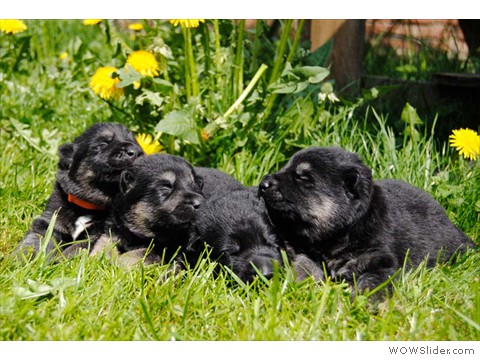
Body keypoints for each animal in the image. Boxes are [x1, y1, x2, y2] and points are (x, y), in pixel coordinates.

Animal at [14, 123, 142, 258]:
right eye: (103, 144)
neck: (87, 206)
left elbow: (73, 249)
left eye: (135, 143)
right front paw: (19, 259)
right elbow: (33, 241)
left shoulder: (95, 235)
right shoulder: (51, 220)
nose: (136, 151)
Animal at [258, 146, 476, 292]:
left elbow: (372, 281)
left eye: (302, 177)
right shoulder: (303, 250)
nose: (263, 184)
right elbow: (304, 264)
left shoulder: (378, 258)